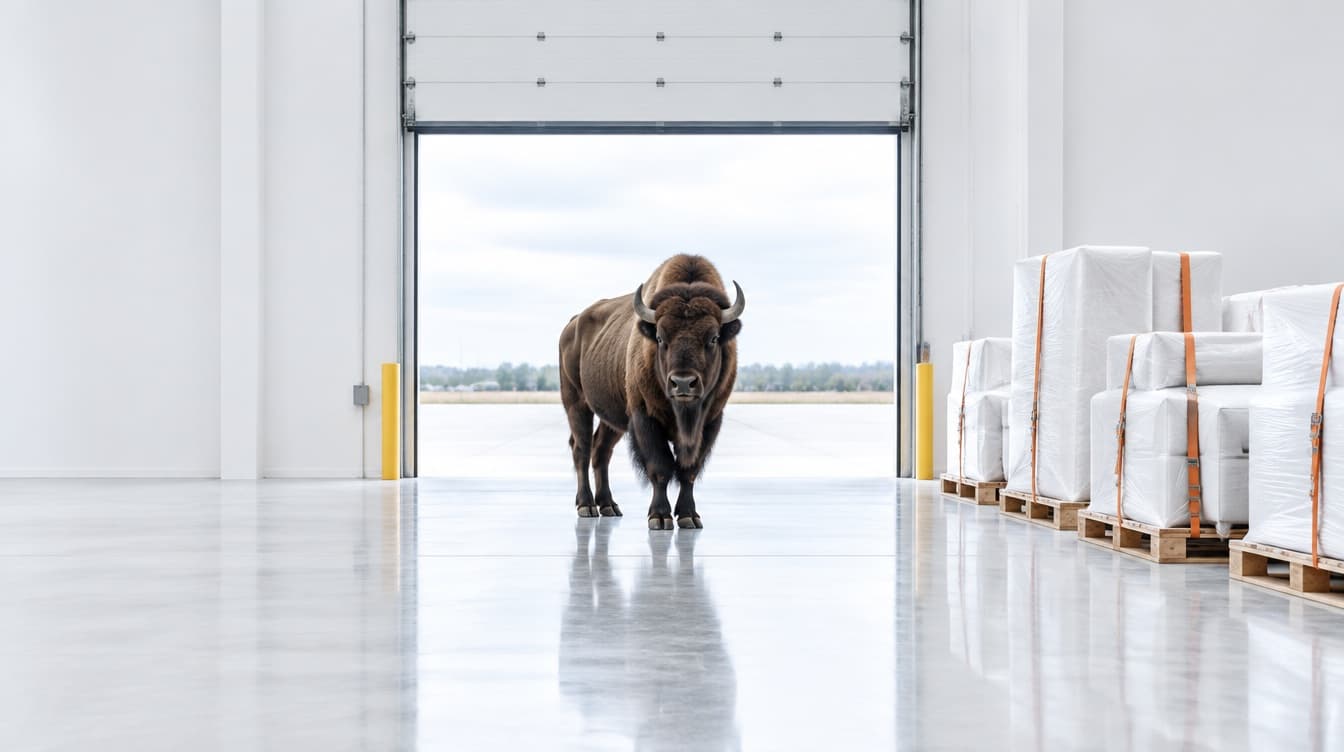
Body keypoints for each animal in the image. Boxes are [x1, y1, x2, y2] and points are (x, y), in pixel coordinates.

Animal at [559, 255, 744, 529]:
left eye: (713, 338)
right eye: (659, 337)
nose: (683, 383)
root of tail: (572, 324)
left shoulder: (710, 421)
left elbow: (689, 470)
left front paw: (689, 516)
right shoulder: (644, 417)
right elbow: (660, 467)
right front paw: (659, 516)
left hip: (612, 419)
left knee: (601, 450)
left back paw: (609, 506)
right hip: (576, 403)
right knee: (581, 448)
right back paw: (586, 506)